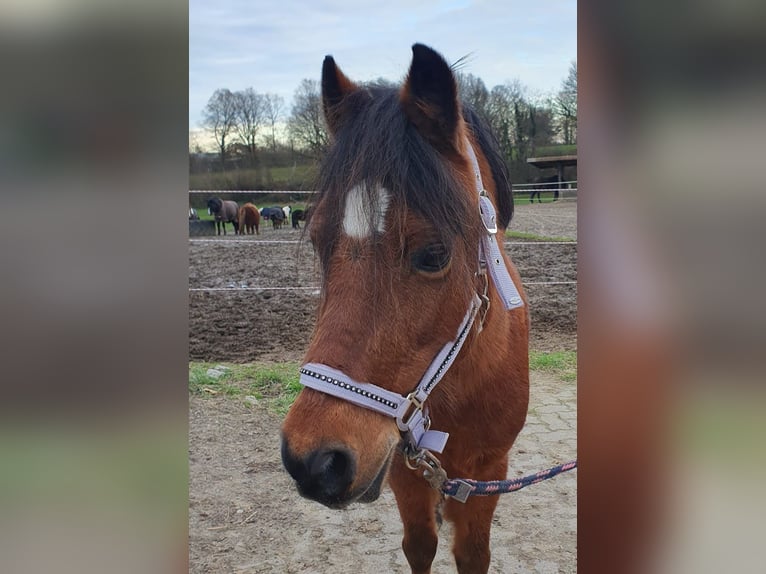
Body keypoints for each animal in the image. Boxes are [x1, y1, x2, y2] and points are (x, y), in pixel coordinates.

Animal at [280, 44, 529, 574]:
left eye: (433, 254)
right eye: (318, 242)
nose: (313, 461)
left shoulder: (488, 475)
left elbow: (472, 553)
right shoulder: (402, 471)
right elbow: (420, 544)